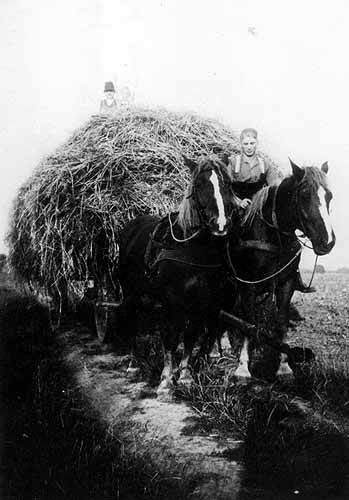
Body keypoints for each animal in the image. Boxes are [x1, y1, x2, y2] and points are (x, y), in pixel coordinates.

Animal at [117, 154, 239, 396]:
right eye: (199, 184)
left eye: (228, 184)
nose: (220, 224)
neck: (192, 250)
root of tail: (131, 226)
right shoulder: (172, 303)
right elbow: (171, 339)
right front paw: (165, 380)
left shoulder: (200, 303)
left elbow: (190, 337)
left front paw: (184, 376)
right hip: (130, 293)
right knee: (133, 322)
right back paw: (133, 364)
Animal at [226, 160, 334, 378]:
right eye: (305, 194)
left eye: (330, 195)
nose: (327, 242)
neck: (273, 235)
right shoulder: (248, 285)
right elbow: (249, 323)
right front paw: (243, 367)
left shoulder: (286, 284)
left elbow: (282, 321)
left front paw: (284, 365)